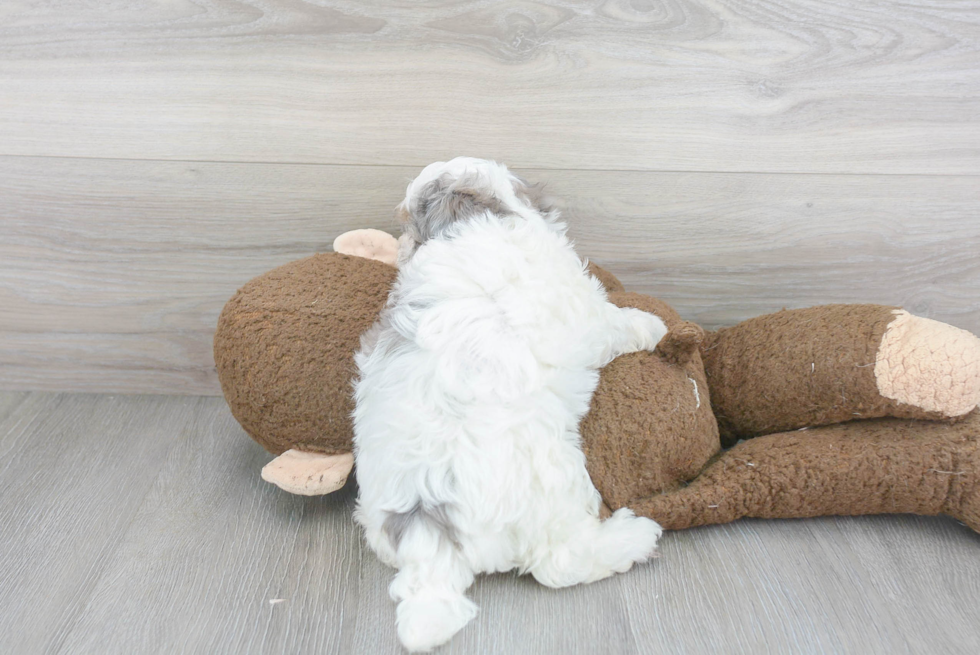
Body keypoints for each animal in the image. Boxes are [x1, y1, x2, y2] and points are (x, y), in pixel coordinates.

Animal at [352, 158, 668, 652]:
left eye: (407, 224)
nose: (401, 244)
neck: (464, 223)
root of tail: (428, 528)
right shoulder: (585, 311)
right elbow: (616, 323)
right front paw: (650, 325)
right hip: (557, 487)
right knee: (562, 562)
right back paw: (632, 538)